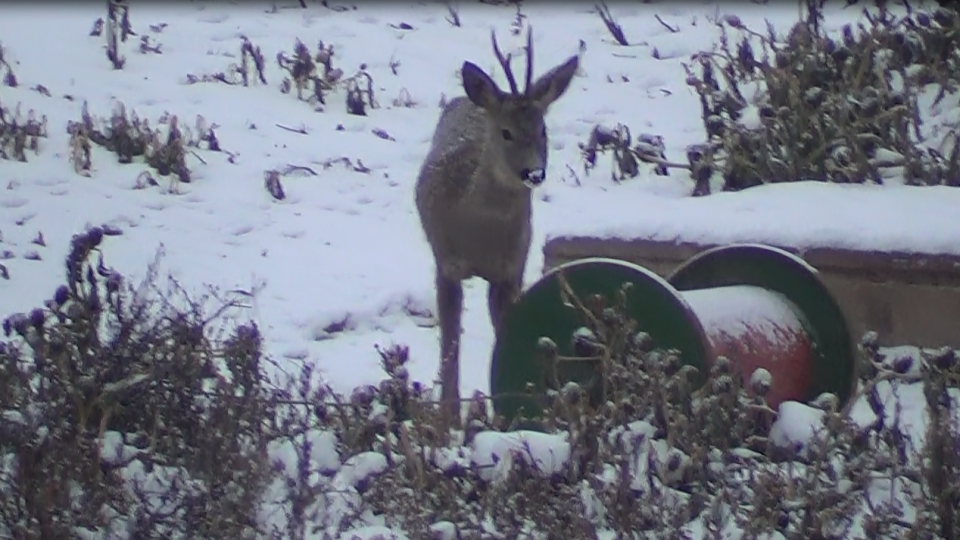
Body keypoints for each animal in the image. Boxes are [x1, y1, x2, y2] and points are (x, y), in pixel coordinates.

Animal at [412, 27, 576, 420]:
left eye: (543, 130)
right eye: (506, 132)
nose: (533, 173)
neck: (478, 235)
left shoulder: (511, 269)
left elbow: (507, 334)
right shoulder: (446, 264)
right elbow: (449, 344)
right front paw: (448, 421)